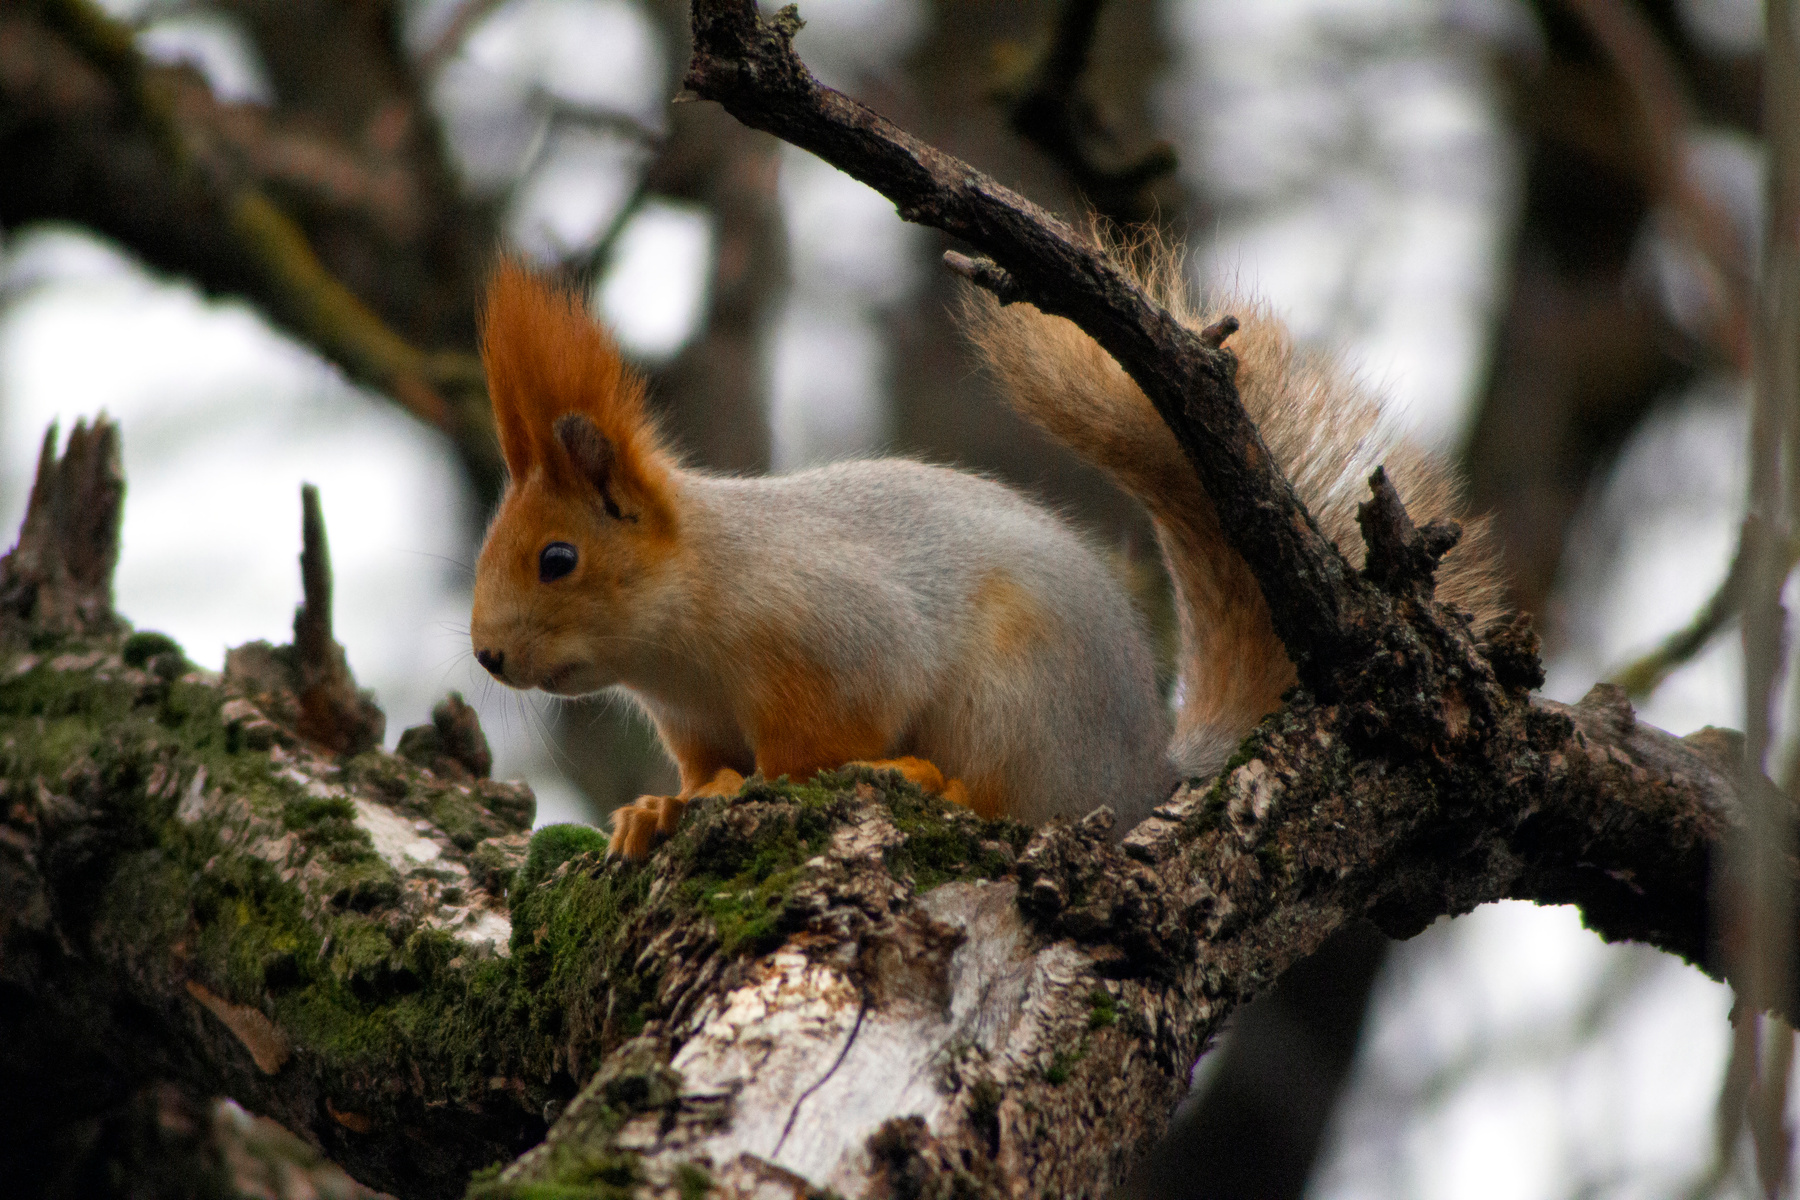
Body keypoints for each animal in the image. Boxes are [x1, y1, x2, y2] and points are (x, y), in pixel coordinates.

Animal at [469, 253, 1504, 859]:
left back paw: (929, 780)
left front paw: (767, 784)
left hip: (1019, 696)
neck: (687, 623)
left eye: (557, 558)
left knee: (1015, 804)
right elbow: (700, 773)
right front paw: (659, 812)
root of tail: (1141, 776)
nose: (487, 654)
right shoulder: (694, 721)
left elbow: (819, 742)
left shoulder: (835, 639)